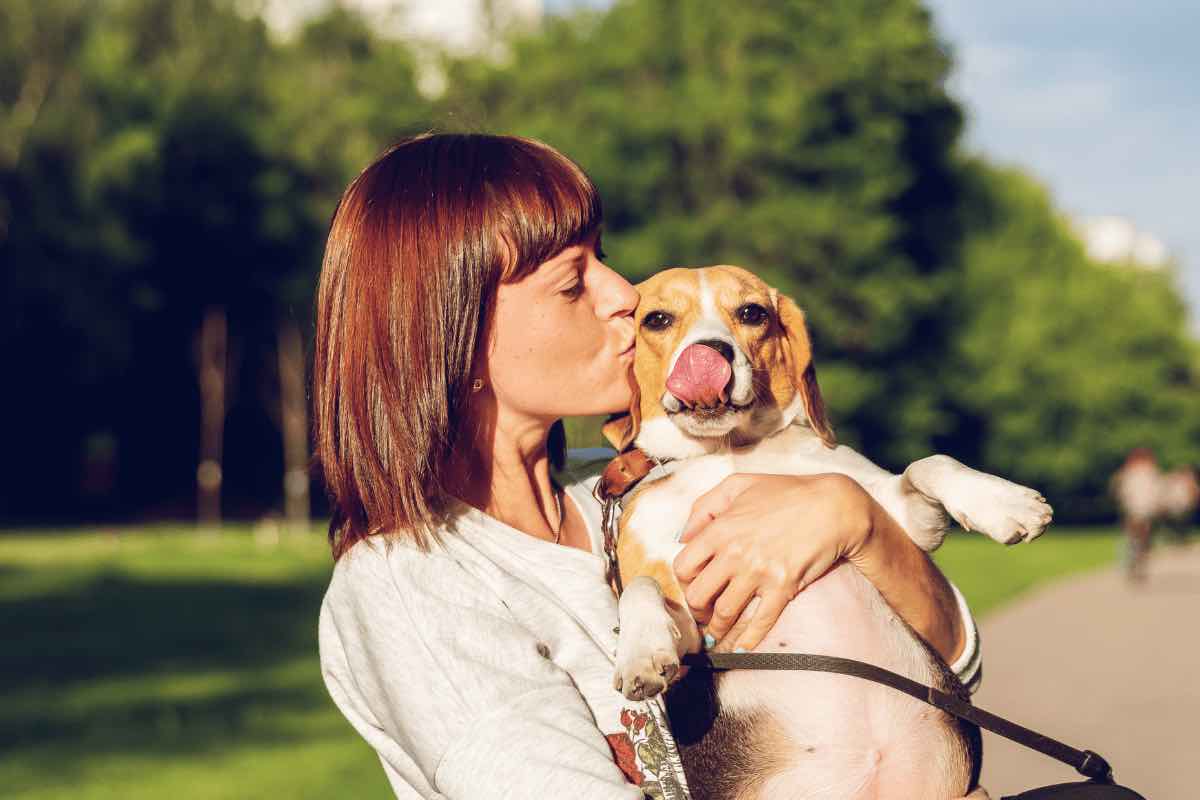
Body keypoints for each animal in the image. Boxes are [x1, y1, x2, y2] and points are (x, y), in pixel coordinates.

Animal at [600, 267, 1051, 800]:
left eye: (752, 313)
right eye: (657, 319)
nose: (711, 353)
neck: (728, 452)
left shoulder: (904, 518)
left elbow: (930, 463)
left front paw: (1004, 502)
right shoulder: (694, 631)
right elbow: (642, 589)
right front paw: (640, 652)